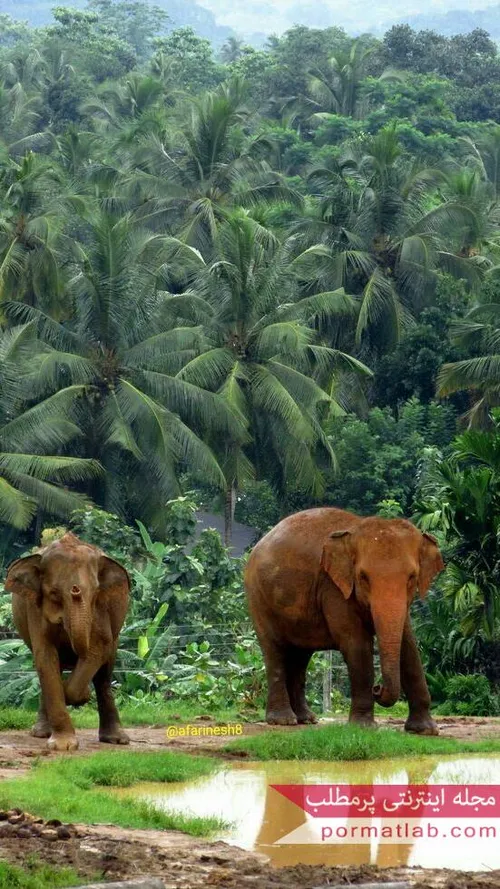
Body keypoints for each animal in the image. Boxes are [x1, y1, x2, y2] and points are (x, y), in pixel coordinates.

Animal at [4, 532, 130, 752]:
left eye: (96, 592)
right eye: (54, 594)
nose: (75, 590)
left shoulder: (102, 609)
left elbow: (99, 646)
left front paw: (78, 694)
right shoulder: (34, 608)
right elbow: (45, 656)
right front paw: (63, 746)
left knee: (104, 676)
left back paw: (117, 739)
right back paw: (41, 733)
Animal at [244, 510, 444, 732]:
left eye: (412, 577)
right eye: (363, 577)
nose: (377, 688)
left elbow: (409, 645)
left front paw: (425, 730)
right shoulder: (334, 588)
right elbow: (356, 643)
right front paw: (363, 727)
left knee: (301, 656)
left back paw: (306, 719)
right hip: (258, 599)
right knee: (275, 649)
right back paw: (284, 720)